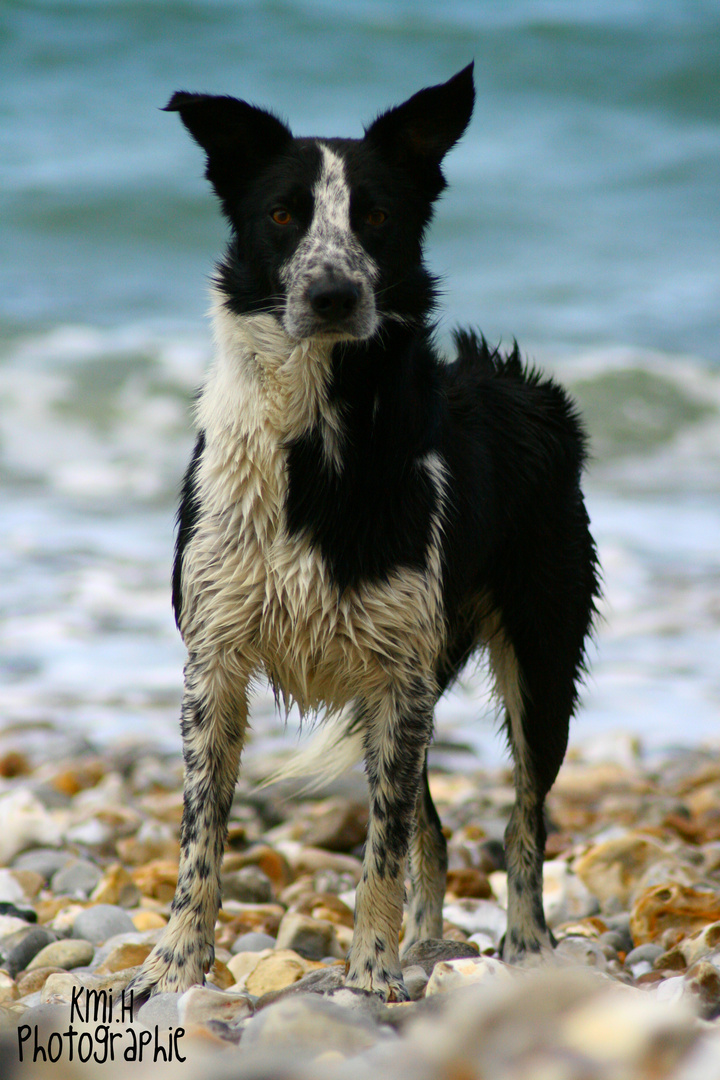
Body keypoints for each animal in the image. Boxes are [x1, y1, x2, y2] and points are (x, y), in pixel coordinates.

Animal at [131, 65, 604, 1002]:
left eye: (377, 215)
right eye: (283, 214)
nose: (333, 294)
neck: (318, 441)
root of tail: (518, 380)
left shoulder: (399, 676)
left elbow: (382, 846)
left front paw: (373, 975)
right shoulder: (215, 663)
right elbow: (202, 835)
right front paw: (176, 966)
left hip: (539, 655)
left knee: (521, 815)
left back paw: (524, 946)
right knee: (434, 826)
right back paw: (426, 942)